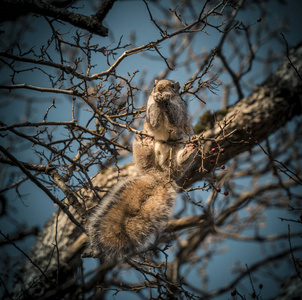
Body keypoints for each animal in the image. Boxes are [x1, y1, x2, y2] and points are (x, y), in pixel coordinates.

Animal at [87, 79, 196, 260]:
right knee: (145, 156)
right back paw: (146, 143)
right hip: (141, 149)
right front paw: (158, 100)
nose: (160, 89)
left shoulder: (180, 111)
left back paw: (188, 151)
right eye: (155, 85)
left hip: (178, 155)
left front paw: (166, 98)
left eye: (172, 86)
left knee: (179, 162)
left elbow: (175, 118)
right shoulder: (150, 114)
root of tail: (160, 174)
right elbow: (154, 120)